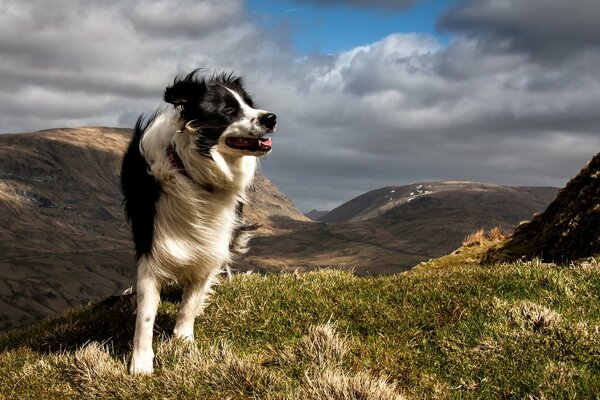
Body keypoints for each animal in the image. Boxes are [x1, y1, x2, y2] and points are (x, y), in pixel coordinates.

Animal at [120, 69, 278, 376]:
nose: (271, 118)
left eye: (249, 104)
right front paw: (141, 363)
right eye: (228, 111)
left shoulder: (210, 245)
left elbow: (190, 300)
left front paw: (183, 339)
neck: (193, 170)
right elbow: (145, 314)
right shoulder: (152, 244)